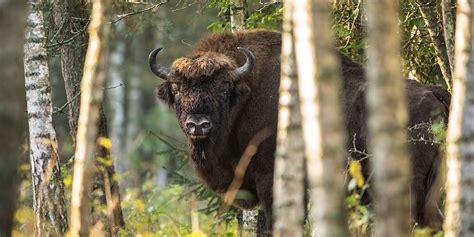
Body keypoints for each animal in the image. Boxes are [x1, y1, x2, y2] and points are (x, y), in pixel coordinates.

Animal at [147, 29, 448, 231]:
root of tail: (434, 92)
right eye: (177, 89)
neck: (245, 94)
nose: (198, 125)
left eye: (223, 89)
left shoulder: (271, 179)